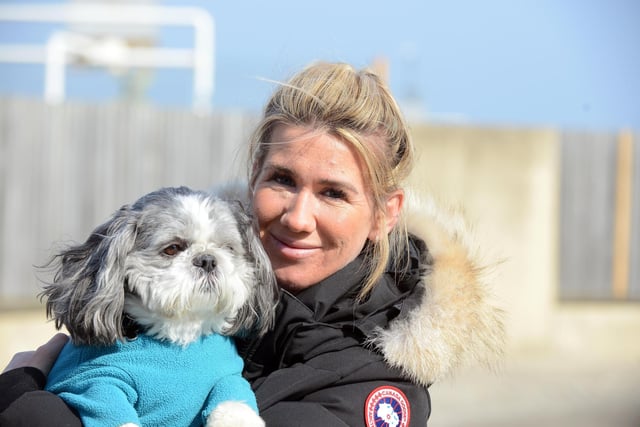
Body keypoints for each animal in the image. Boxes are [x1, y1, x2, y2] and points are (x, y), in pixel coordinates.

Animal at [40, 187, 278, 427]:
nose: (207, 260)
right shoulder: (94, 382)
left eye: (227, 248)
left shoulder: (227, 376)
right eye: (172, 249)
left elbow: (233, 402)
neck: (179, 333)